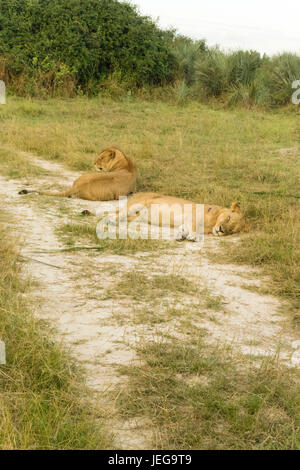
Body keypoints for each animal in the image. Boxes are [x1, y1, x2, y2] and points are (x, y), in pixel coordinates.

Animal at [116, 192, 250, 241]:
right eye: (228, 218)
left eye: (232, 231)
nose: (221, 230)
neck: (212, 224)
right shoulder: (192, 215)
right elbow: (193, 228)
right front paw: (192, 236)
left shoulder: (186, 221)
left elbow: (184, 228)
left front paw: (181, 235)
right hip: (137, 204)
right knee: (118, 213)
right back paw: (112, 220)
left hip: (137, 217)